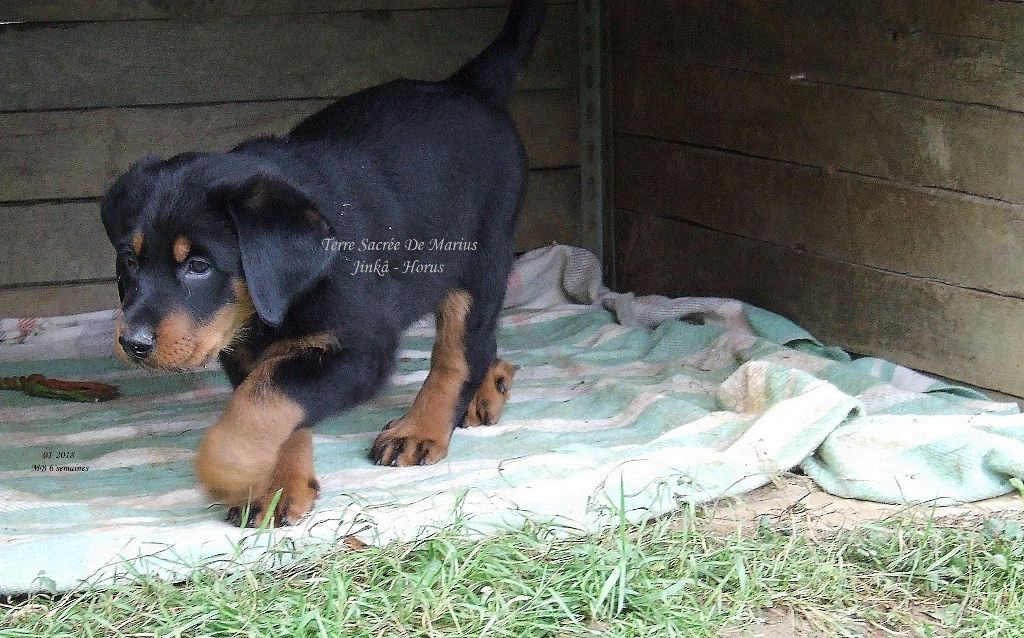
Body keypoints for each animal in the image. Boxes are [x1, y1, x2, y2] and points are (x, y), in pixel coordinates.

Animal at [102, 0, 548, 528]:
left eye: (198, 265)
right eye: (130, 261)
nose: (133, 343)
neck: (273, 304)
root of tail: (466, 87)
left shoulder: (359, 349)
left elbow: (261, 404)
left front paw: (228, 469)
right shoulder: (250, 353)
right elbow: (274, 409)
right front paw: (278, 490)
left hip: (478, 259)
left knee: (462, 349)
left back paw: (421, 428)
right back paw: (489, 388)